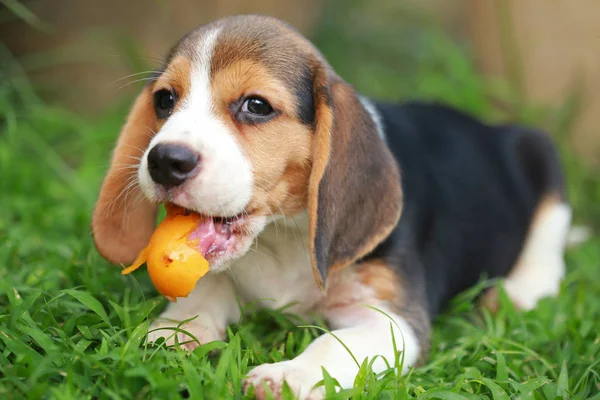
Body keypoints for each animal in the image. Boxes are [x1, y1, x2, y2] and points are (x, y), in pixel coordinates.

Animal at [91, 14, 568, 400]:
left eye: (256, 106)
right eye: (164, 100)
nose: (165, 161)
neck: (282, 234)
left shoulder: (394, 320)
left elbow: (332, 344)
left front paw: (286, 377)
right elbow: (208, 289)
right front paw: (176, 332)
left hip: (540, 152)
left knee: (549, 243)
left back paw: (519, 292)